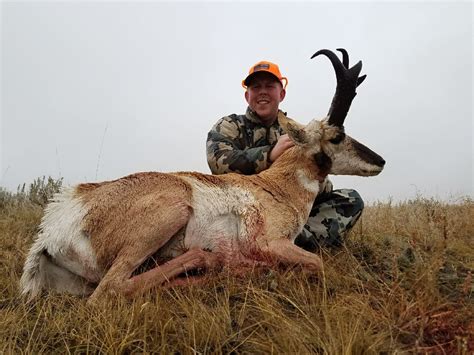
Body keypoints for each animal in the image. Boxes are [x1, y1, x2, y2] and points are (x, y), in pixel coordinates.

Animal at [21, 48, 386, 302]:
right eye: (337, 136)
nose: (381, 161)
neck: (274, 187)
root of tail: (55, 226)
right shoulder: (270, 243)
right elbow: (317, 263)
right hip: (173, 208)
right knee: (109, 291)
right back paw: (216, 265)